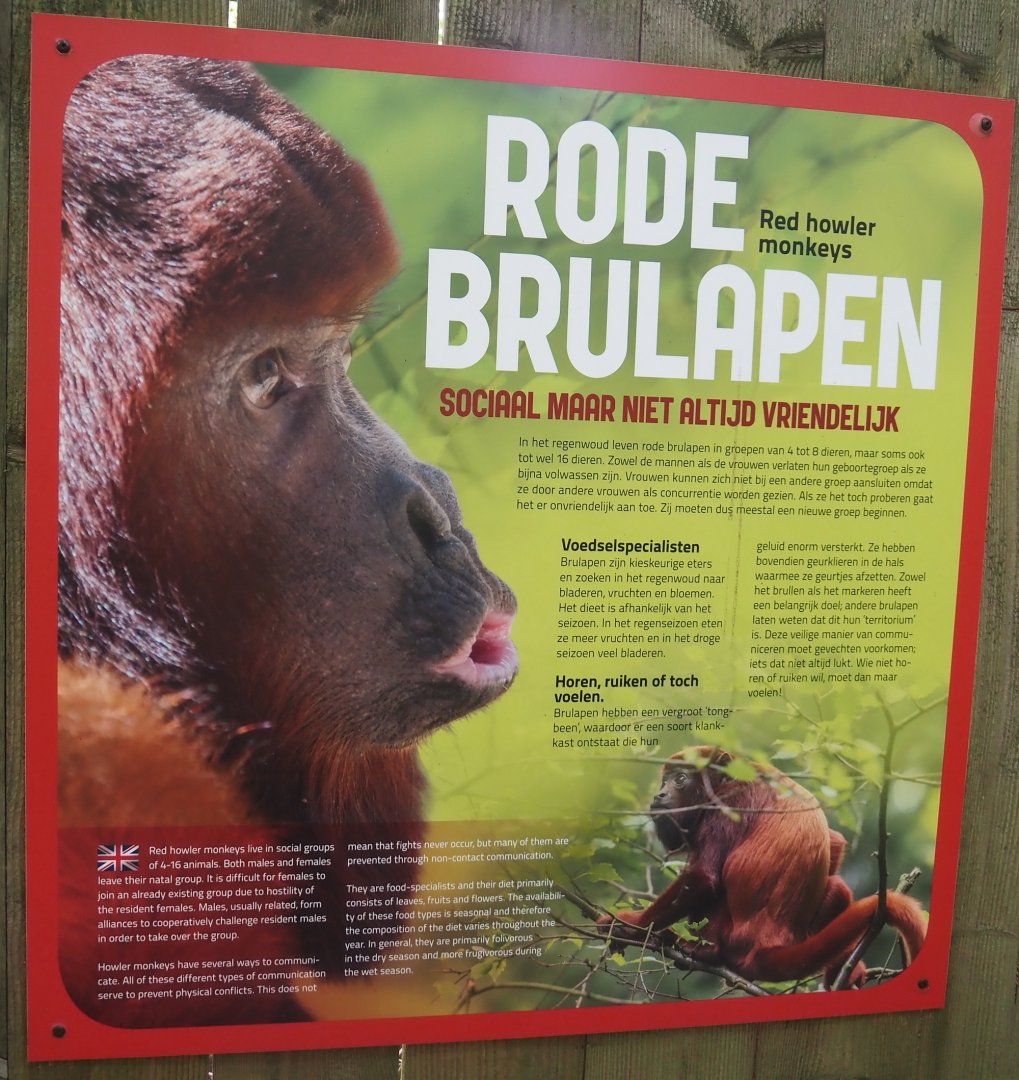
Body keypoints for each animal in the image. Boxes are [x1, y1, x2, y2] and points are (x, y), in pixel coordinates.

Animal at [598, 747, 926, 988]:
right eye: (664, 780)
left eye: (680, 779)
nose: (659, 795)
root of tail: (766, 945)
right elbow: (834, 841)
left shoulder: (729, 803)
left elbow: (704, 878)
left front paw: (629, 925)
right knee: (838, 887)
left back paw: (698, 948)